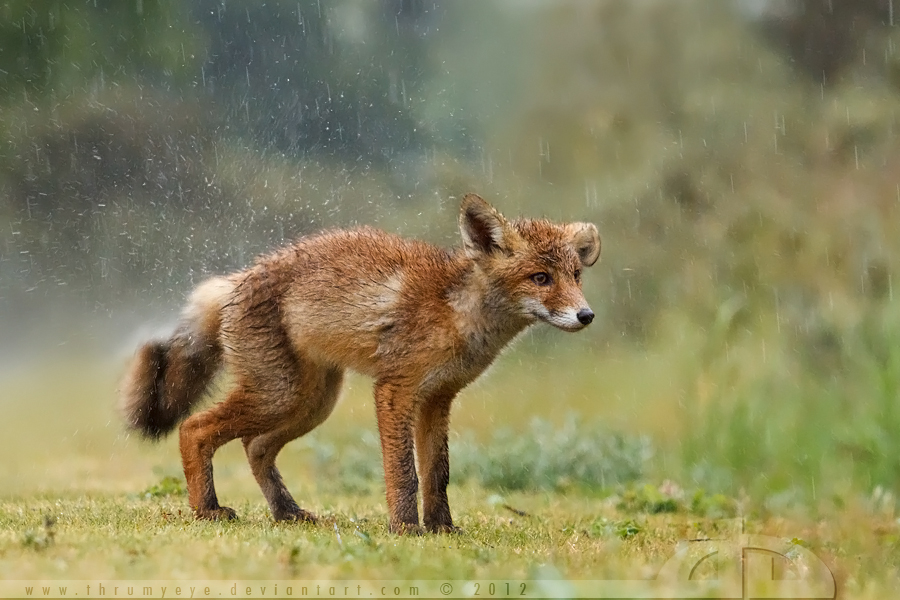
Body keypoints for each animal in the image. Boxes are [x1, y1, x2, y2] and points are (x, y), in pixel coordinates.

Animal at [120, 193, 600, 534]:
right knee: (194, 428)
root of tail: (237, 279)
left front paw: (442, 528)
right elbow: (404, 472)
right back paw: (207, 509)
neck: (456, 314)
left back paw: (286, 512)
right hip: (279, 395)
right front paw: (406, 528)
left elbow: (438, 473)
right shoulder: (395, 389)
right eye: (540, 278)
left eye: (576, 276)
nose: (586, 315)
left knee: (255, 447)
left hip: (313, 402)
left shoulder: (437, 399)